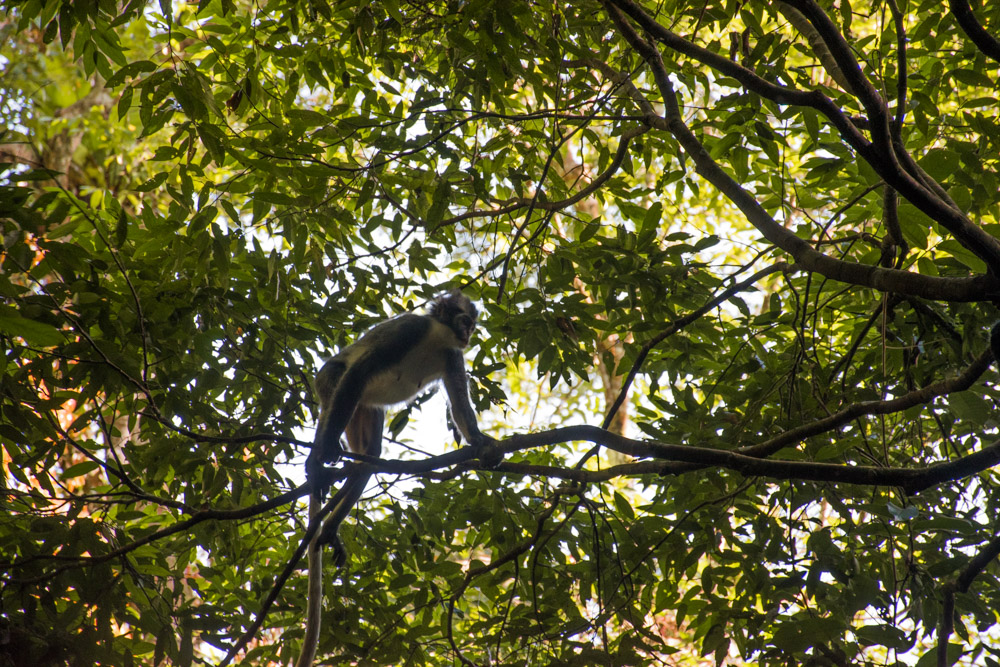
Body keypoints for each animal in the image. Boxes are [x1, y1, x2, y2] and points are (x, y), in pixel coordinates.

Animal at [296, 290, 500, 667]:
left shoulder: (452, 356)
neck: (437, 335)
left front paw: (483, 444)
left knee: (369, 458)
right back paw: (316, 462)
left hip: (363, 408)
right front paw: (324, 454)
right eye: (465, 321)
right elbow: (362, 368)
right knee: (347, 381)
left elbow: (461, 411)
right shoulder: (412, 329)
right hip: (333, 384)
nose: (468, 336)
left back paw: (331, 526)